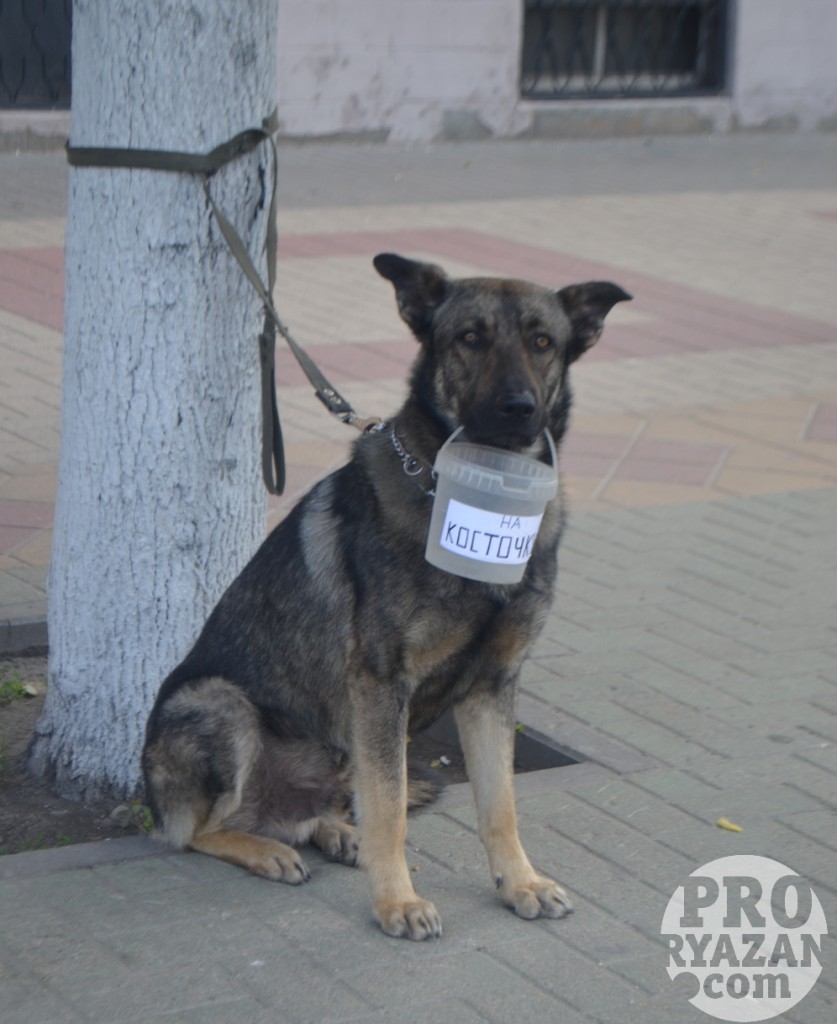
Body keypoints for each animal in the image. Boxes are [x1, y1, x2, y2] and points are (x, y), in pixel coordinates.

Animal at [143, 251, 626, 937]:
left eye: (542, 342)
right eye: (470, 337)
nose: (518, 407)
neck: (484, 493)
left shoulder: (491, 686)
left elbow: (499, 803)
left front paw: (520, 883)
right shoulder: (381, 686)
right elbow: (392, 809)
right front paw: (397, 900)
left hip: (341, 748)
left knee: (319, 811)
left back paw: (332, 831)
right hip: (218, 704)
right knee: (201, 829)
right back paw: (266, 850)